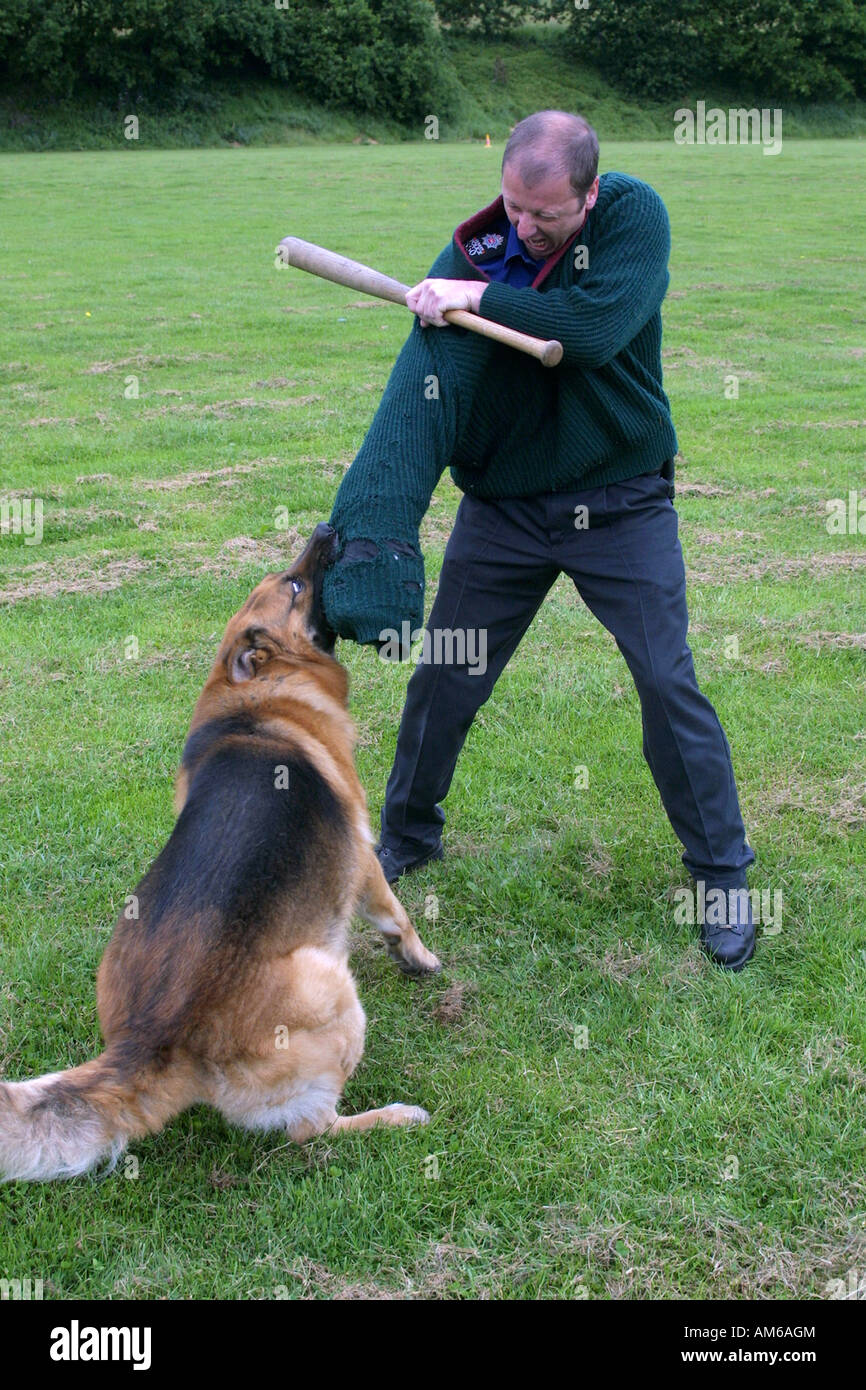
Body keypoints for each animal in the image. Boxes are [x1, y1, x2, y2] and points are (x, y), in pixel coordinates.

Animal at [0, 525, 444, 1178]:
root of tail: (149, 1041)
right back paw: (394, 1118)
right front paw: (420, 958)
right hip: (330, 987)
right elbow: (397, 915)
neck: (254, 697)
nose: (327, 530)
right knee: (310, 1130)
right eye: (295, 586)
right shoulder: (363, 858)